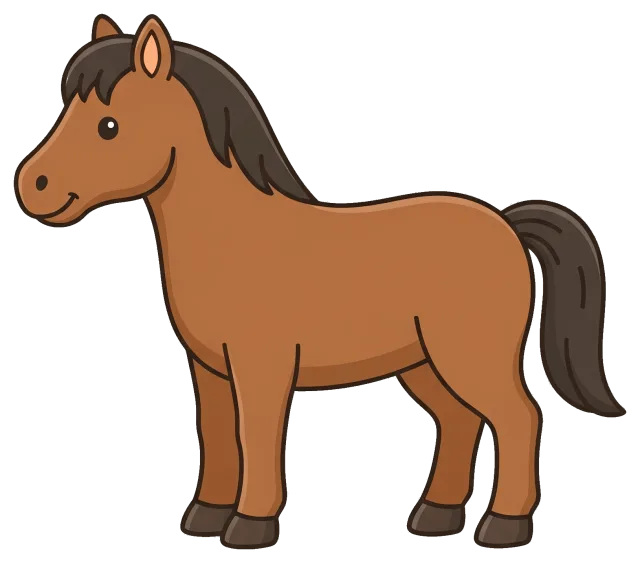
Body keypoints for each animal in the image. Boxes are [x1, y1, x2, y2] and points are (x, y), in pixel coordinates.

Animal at [14, 14, 623, 551]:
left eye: (109, 126)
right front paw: (205, 516)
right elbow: (217, 434)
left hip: (469, 357)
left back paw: (502, 529)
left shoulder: (261, 366)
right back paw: (434, 516)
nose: (32, 185)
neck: (230, 237)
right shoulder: (210, 369)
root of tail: (507, 225)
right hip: (425, 364)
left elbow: (255, 434)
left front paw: (248, 528)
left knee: (518, 418)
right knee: (459, 421)